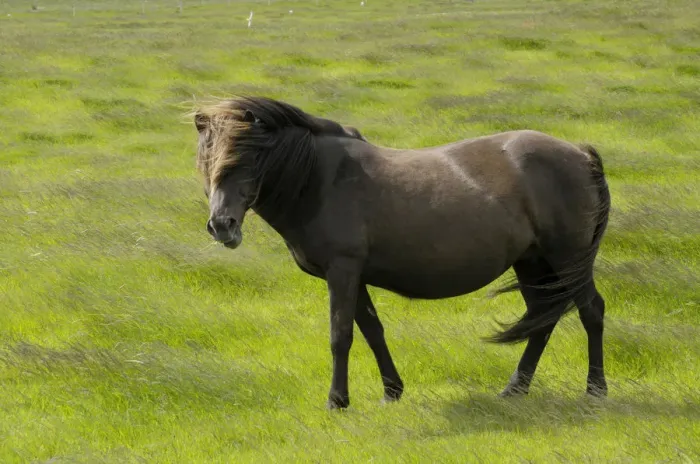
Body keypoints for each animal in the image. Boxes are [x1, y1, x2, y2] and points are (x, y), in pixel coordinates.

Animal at [193, 96, 611, 409]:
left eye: (249, 159)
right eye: (205, 160)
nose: (222, 226)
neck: (318, 180)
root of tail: (579, 154)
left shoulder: (342, 270)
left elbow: (341, 335)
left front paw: (337, 401)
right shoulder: (353, 275)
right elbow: (372, 330)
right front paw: (391, 391)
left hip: (568, 259)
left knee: (590, 311)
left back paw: (595, 390)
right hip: (533, 263)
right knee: (542, 319)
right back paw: (514, 389)